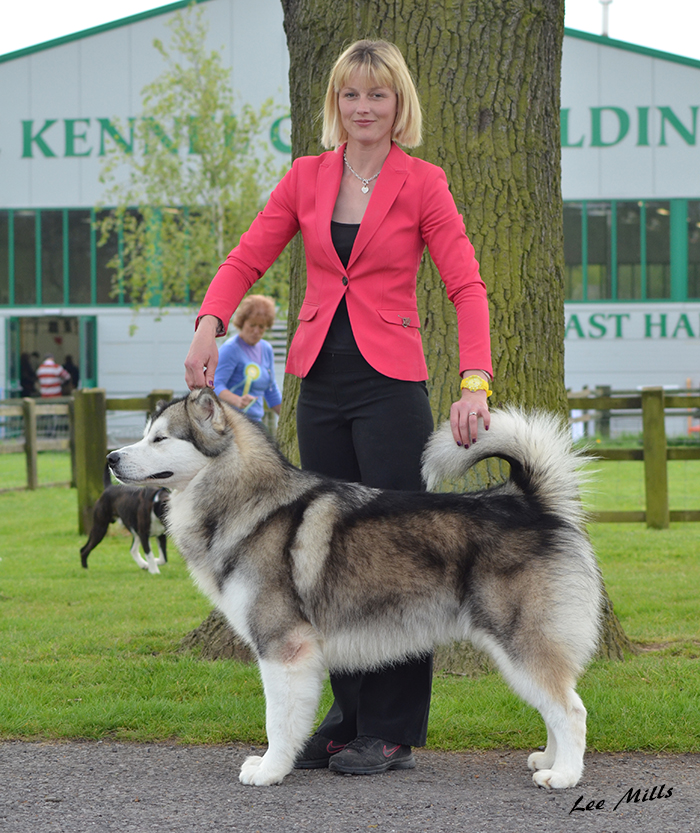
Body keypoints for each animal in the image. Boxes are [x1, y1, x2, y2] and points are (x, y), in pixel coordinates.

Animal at [108, 386, 600, 788]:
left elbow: (276, 720)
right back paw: (549, 760)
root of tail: (527, 502)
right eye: (145, 434)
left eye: (159, 439)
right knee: (555, 706)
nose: (112, 457)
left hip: (521, 641)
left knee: (571, 710)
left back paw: (564, 776)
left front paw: (270, 770)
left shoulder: (283, 648)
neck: (248, 501)